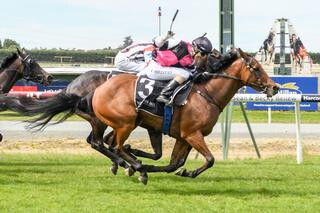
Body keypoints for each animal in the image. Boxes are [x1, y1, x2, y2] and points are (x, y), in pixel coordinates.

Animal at [91, 47, 278, 184]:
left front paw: (183, 171)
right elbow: (210, 159)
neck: (207, 94)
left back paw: (129, 164)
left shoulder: (184, 137)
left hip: (128, 123)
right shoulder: (192, 134)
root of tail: (99, 89)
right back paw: (137, 168)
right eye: (256, 68)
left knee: (110, 143)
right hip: (126, 124)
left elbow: (174, 164)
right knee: (116, 147)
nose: (274, 87)